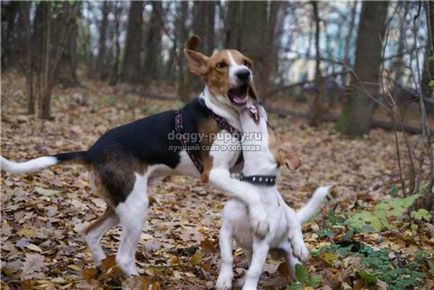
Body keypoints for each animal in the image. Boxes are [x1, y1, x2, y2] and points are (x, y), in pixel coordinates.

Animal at [0, 36, 286, 276]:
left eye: (245, 62)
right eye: (221, 65)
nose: (244, 74)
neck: (221, 114)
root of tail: (93, 151)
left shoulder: (236, 171)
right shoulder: (214, 173)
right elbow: (249, 192)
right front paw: (261, 219)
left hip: (121, 203)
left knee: (90, 233)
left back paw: (102, 268)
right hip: (136, 206)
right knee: (123, 257)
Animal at [215, 101, 330, 288]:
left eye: (270, 126)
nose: (258, 102)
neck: (254, 183)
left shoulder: (262, 244)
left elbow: (255, 271)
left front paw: (248, 288)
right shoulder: (226, 230)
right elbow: (227, 258)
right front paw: (224, 280)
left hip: (291, 255)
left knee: (294, 223)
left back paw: (300, 249)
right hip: (251, 250)